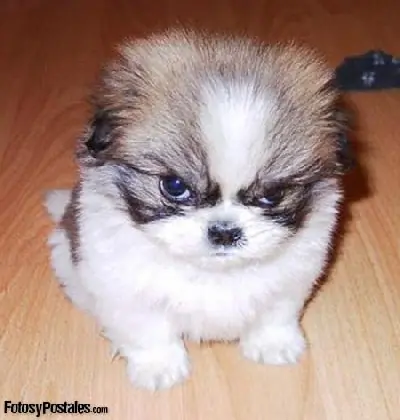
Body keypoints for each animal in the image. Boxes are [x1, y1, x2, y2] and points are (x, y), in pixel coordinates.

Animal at [45, 29, 353, 391]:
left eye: (274, 195)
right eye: (174, 186)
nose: (225, 231)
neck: (214, 272)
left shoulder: (292, 280)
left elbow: (275, 313)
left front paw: (272, 344)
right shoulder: (127, 291)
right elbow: (147, 332)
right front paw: (159, 367)